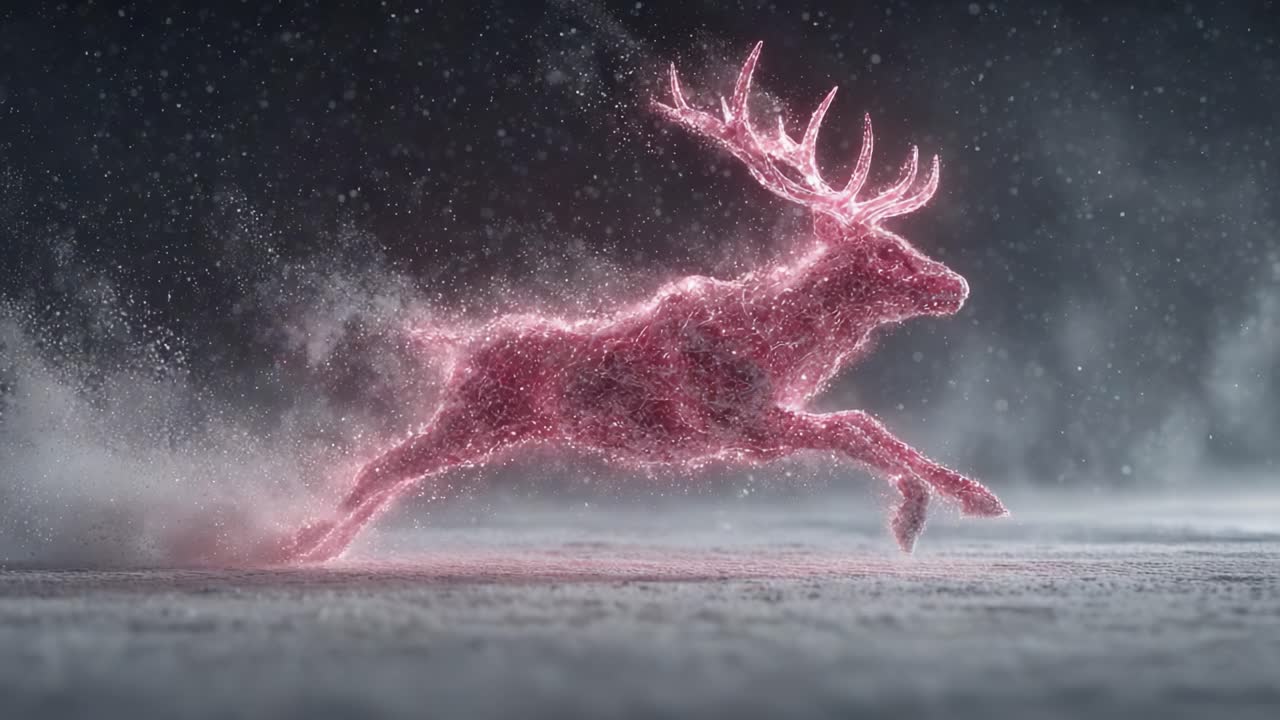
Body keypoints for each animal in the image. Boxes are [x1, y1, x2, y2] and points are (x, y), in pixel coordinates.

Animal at [276, 42, 1007, 564]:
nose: (957, 286)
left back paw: (312, 545)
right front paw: (926, 510)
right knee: (377, 467)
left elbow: (864, 426)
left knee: (387, 479)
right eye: (884, 252)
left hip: (490, 427)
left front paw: (962, 498)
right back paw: (287, 544)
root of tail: (459, 346)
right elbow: (856, 425)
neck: (787, 344)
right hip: (470, 417)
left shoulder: (756, 425)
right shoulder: (737, 420)